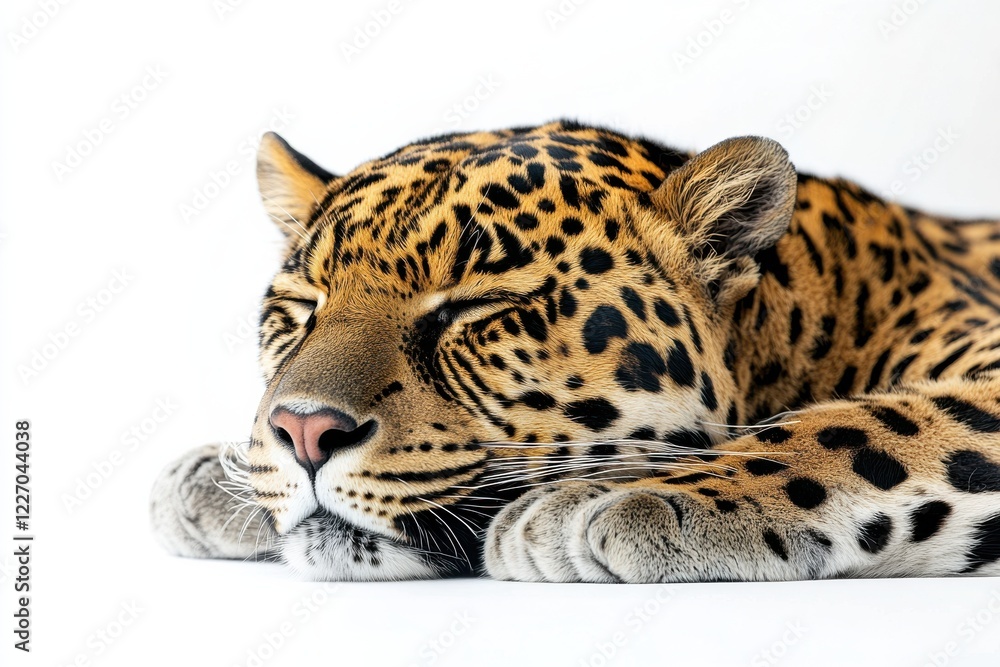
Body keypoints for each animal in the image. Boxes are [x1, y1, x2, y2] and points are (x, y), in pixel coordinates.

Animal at [150, 120, 1000, 582]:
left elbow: (850, 429)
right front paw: (223, 477)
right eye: (303, 308)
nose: (303, 431)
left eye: (478, 308)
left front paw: (602, 498)